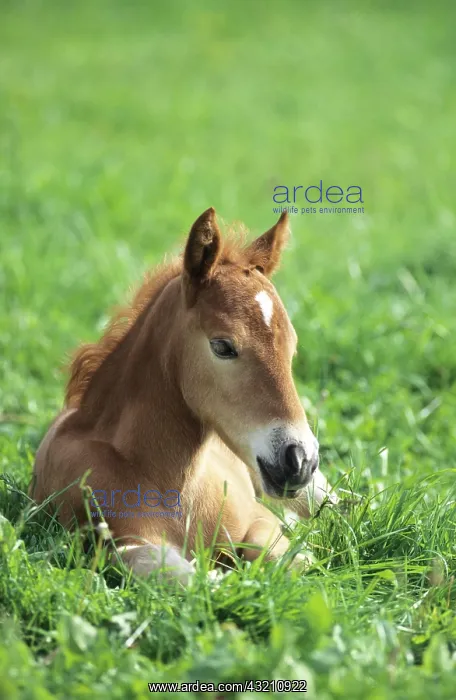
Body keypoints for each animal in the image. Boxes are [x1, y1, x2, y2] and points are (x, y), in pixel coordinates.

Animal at [30, 208, 337, 583]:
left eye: (291, 348)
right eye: (222, 346)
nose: (299, 460)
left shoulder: (261, 520)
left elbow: (287, 557)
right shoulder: (116, 541)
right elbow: (181, 576)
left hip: (314, 491)